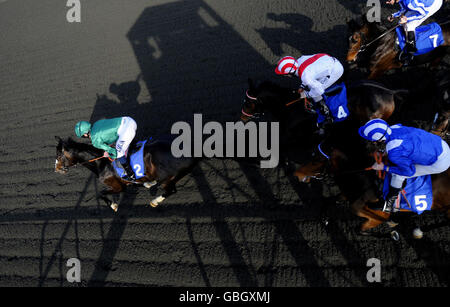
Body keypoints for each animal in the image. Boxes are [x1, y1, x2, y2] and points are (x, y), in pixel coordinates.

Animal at [54, 137, 197, 212]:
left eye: (59, 155)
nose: (56, 169)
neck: (101, 162)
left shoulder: (118, 186)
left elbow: (100, 193)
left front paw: (113, 205)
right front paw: (148, 183)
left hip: (168, 177)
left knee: (171, 190)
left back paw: (155, 201)